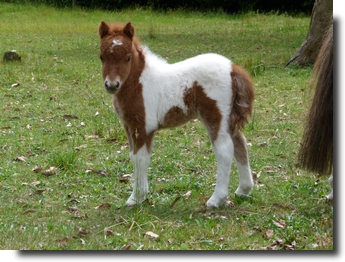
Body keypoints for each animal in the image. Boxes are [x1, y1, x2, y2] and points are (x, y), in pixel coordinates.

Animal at [98, 21, 254, 207]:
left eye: (128, 57)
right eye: (101, 57)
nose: (111, 85)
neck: (139, 83)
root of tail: (232, 68)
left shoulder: (144, 127)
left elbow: (140, 158)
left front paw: (136, 198)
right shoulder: (129, 126)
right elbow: (133, 156)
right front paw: (138, 196)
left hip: (216, 115)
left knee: (224, 149)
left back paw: (216, 199)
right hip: (228, 119)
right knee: (240, 144)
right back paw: (243, 190)